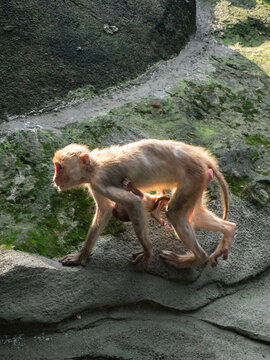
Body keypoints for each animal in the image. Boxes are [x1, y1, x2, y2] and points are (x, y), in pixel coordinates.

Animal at [52, 139, 234, 268]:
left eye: (59, 168)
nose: (54, 179)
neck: (93, 167)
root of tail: (203, 158)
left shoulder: (100, 182)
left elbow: (133, 203)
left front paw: (147, 252)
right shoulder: (94, 185)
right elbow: (105, 211)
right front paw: (81, 256)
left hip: (193, 176)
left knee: (174, 213)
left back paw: (195, 258)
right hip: (200, 179)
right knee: (196, 216)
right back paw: (228, 230)